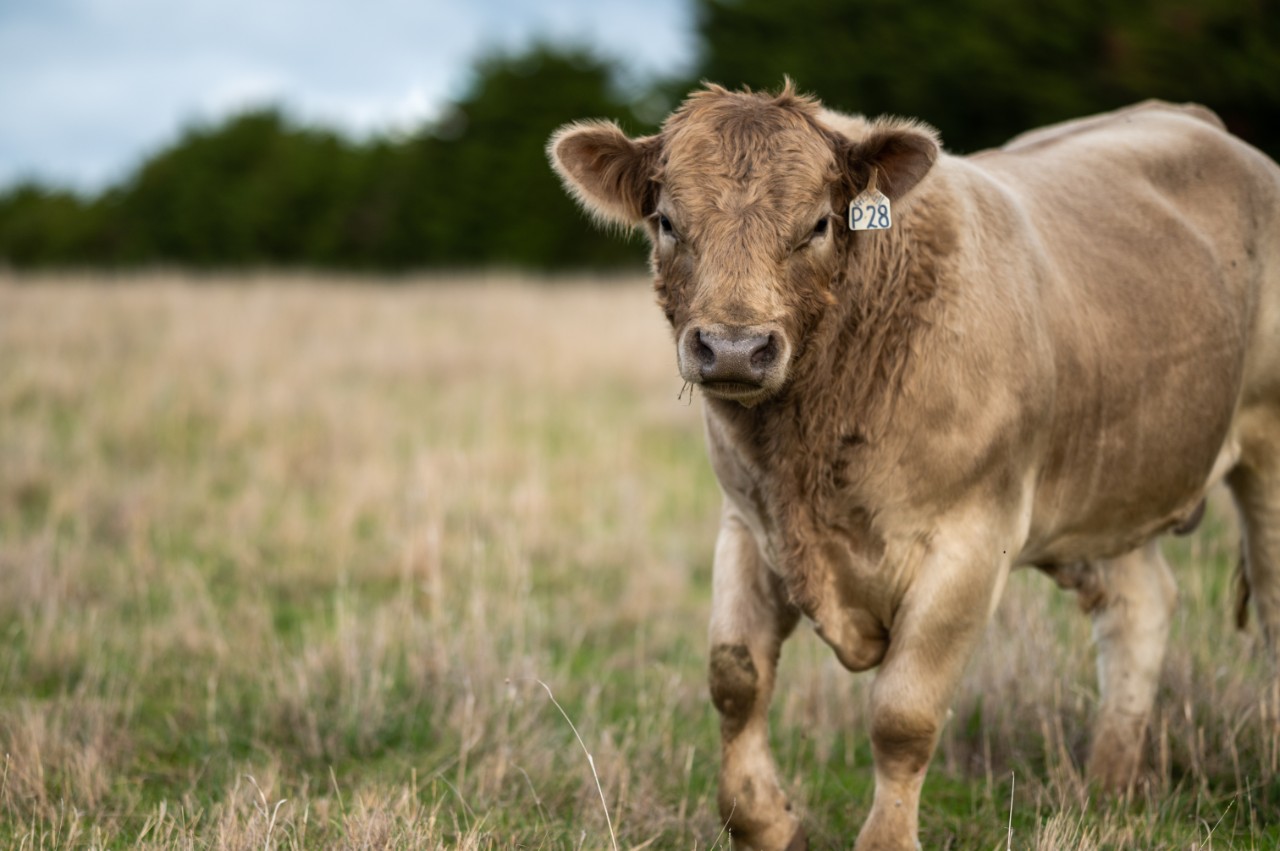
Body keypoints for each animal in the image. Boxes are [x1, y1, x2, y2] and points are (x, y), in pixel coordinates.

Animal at [545, 81, 1280, 849]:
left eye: (818, 224)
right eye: (665, 220)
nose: (735, 348)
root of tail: (1193, 118)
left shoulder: (969, 542)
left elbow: (903, 712)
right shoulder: (748, 522)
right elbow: (735, 677)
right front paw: (767, 820)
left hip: (1263, 443)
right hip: (1114, 480)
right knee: (1140, 608)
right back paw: (1104, 791)